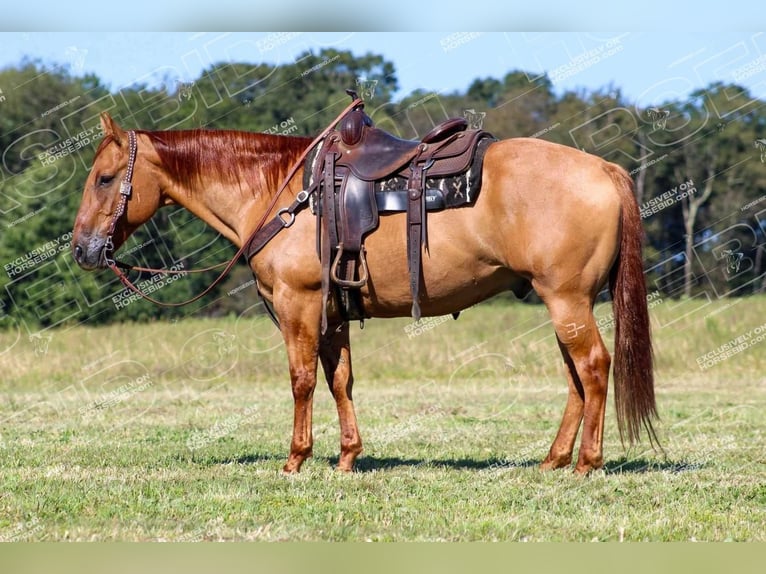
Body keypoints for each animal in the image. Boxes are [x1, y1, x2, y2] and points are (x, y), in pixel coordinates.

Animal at [73, 110, 660, 474]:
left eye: (104, 178)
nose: (81, 249)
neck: (280, 195)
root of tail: (604, 168)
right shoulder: (332, 312)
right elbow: (341, 382)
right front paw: (347, 456)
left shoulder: (300, 304)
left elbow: (303, 381)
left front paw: (296, 458)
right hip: (561, 301)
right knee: (575, 379)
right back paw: (554, 459)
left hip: (567, 301)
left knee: (592, 368)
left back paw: (586, 463)